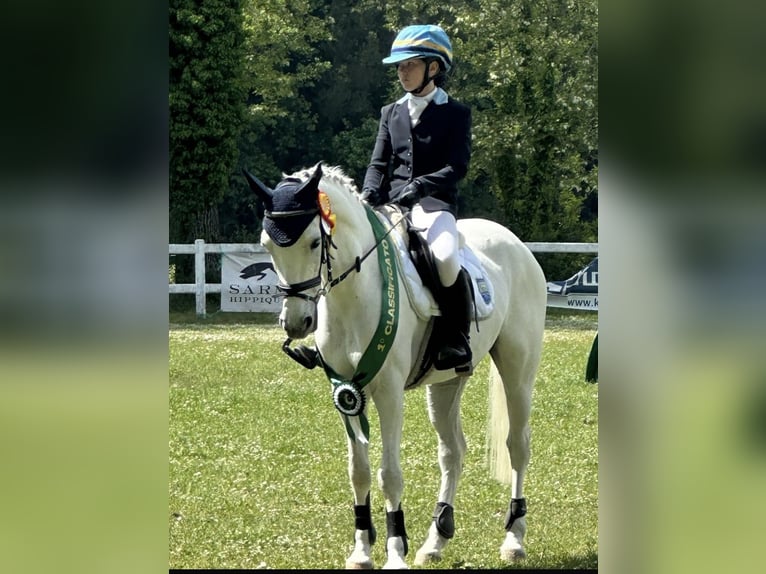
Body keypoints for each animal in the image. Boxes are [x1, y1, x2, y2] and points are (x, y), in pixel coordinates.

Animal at [243, 162, 547, 569]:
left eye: (313, 243)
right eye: (267, 245)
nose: (296, 323)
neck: (352, 296)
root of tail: (515, 242)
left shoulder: (387, 392)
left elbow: (389, 474)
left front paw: (395, 552)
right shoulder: (345, 391)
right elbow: (358, 471)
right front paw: (360, 551)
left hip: (518, 369)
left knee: (518, 444)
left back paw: (513, 539)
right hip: (446, 382)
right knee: (452, 451)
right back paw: (436, 540)